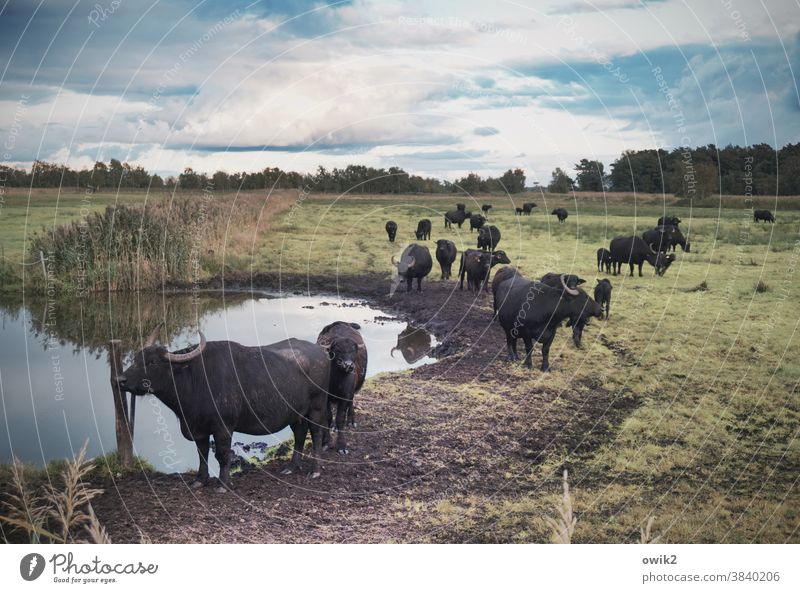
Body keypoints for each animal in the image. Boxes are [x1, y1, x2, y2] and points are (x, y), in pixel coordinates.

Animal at [115, 326, 328, 488]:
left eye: (152, 362)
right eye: (136, 359)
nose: (120, 380)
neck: (194, 379)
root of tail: (321, 353)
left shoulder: (223, 427)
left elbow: (222, 454)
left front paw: (224, 483)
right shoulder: (198, 430)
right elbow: (202, 453)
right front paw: (200, 480)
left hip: (317, 408)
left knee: (316, 434)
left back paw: (315, 471)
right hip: (297, 413)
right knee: (299, 434)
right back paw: (291, 467)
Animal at [318, 320, 368, 454]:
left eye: (353, 350)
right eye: (337, 350)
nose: (348, 365)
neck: (336, 380)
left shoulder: (345, 394)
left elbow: (340, 419)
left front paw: (342, 446)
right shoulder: (325, 397)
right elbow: (328, 417)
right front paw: (326, 442)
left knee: (351, 402)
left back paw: (351, 420)